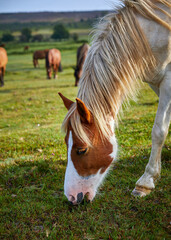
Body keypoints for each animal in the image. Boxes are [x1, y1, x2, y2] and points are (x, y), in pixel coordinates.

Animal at [58, 0, 171, 205]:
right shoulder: (156, 82)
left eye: (81, 150)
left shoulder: (168, 81)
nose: (72, 197)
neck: (151, 33)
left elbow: (158, 131)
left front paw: (145, 182)